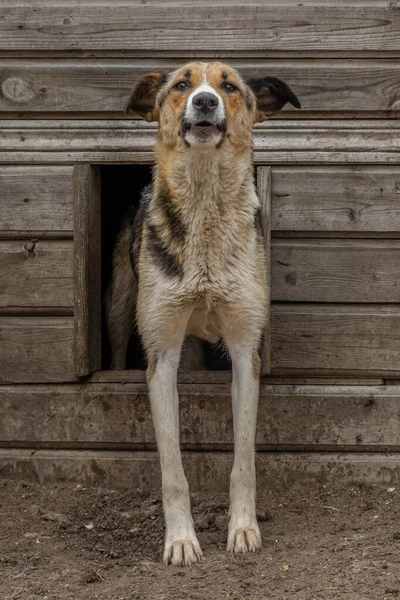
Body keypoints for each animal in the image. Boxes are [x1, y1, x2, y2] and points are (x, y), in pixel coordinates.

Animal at [104, 63, 298, 564]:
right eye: (181, 85)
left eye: (228, 85)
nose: (206, 101)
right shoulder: (162, 358)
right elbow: (173, 469)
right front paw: (180, 540)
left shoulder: (245, 353)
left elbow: (243, 462)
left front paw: (243, 529)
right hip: (120, 311)